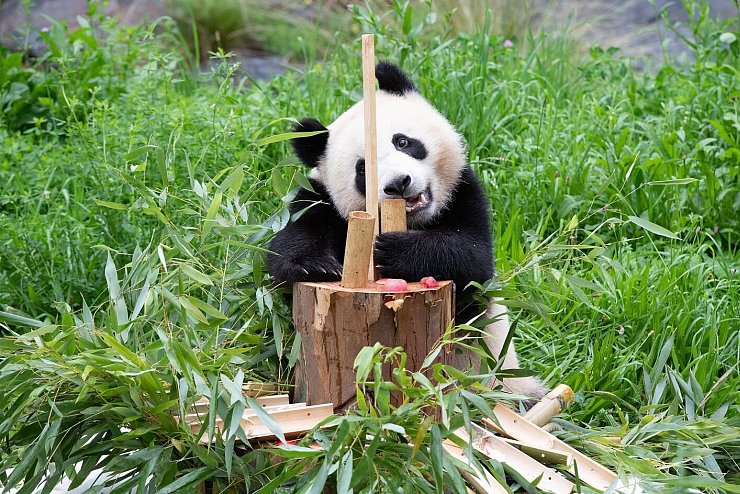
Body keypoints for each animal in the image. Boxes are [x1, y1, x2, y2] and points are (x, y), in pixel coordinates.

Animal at [268, 62, 546, 399]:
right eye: (363, 169)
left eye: (403, 142)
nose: (399, 183)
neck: (416, 222)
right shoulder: (319, 199)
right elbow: (290, 243)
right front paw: (315, 265)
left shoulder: (464, 193)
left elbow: (472, 258)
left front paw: (393, 250)